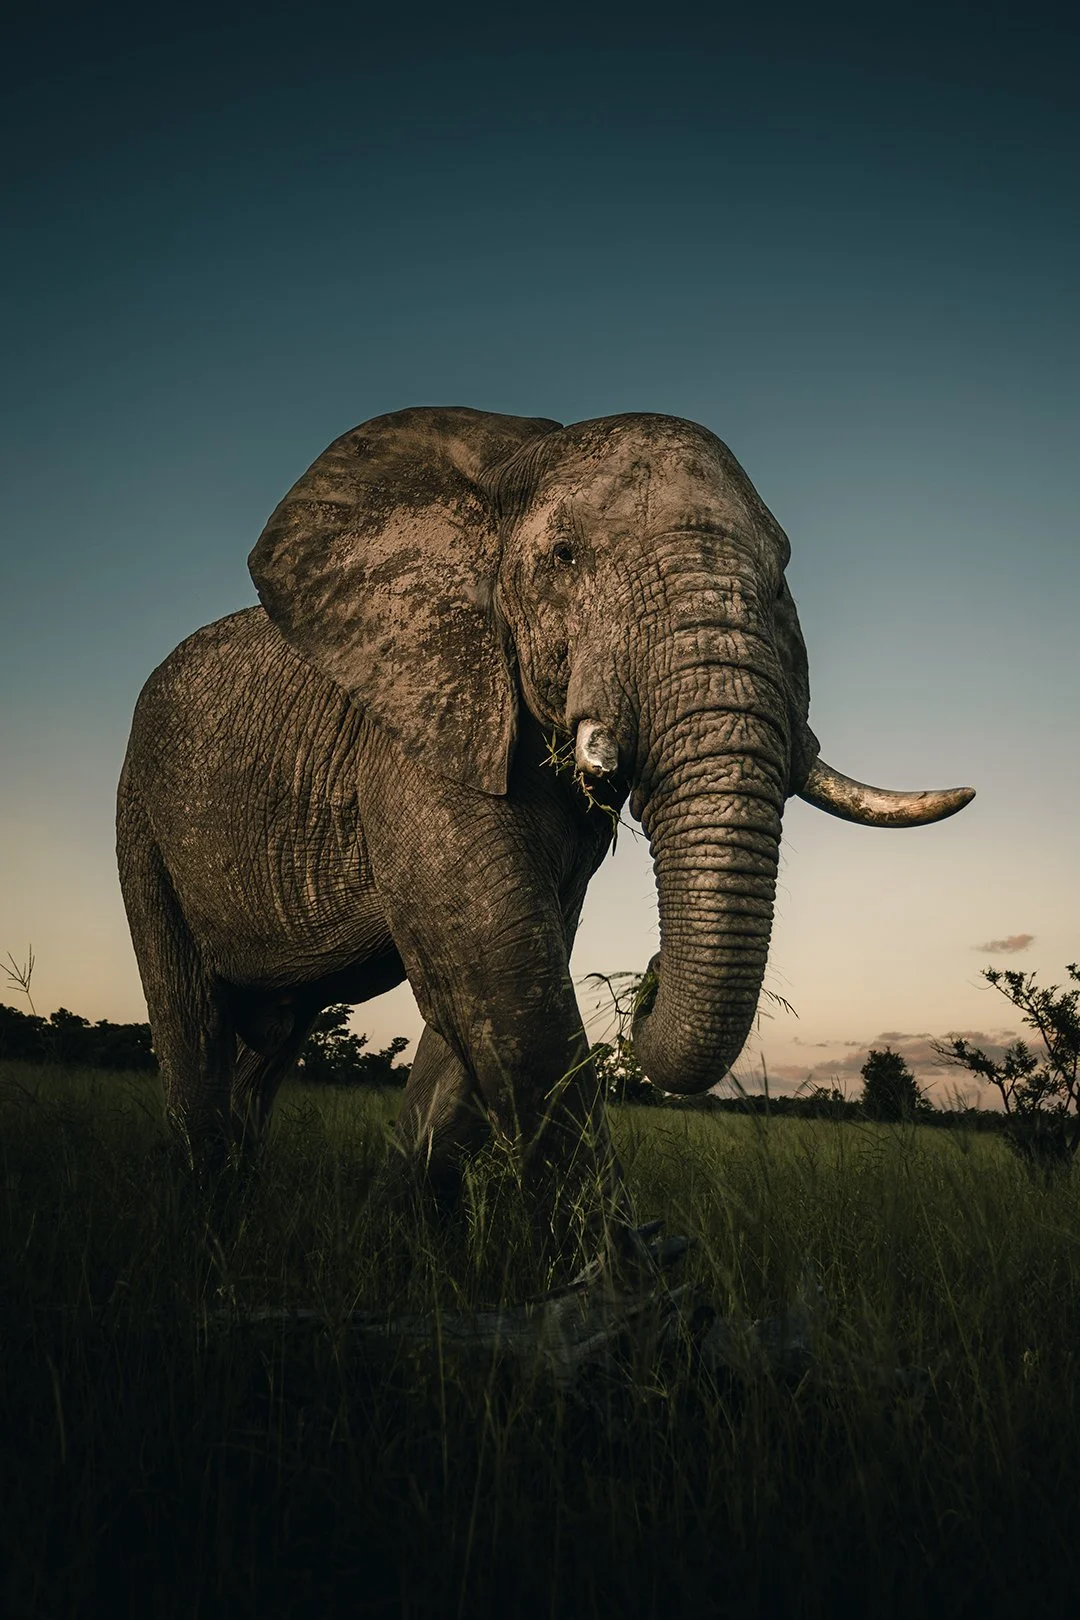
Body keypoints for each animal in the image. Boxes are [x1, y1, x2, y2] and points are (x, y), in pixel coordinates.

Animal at [117, 406, 974, 1269]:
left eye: (780, 582)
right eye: (565, 557)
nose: (648, 978)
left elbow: (506, 977)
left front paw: (403, 1251)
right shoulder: (418, 724)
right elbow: (495, 965)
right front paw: (628, 1285)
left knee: (269, 1041)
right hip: (141, 814)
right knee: (191, 1018)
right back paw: (205, 1228)